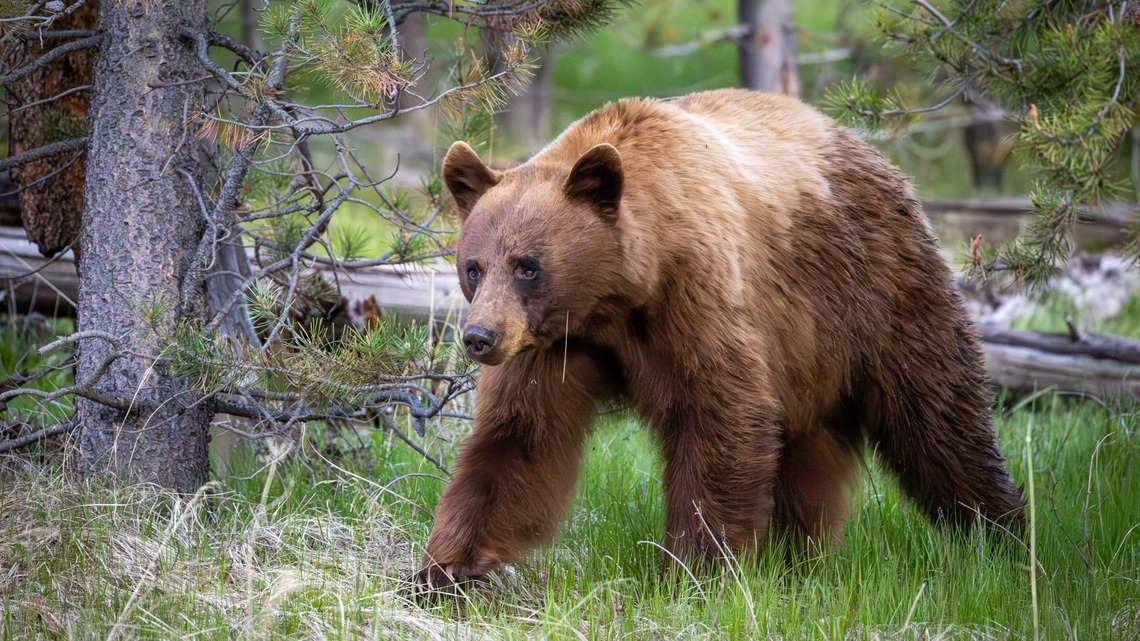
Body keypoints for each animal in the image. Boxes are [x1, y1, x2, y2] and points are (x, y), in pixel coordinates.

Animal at [414, 88, 1024, 591]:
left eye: (528, 266)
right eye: (473, 266)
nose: (479, 337)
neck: (616, 297)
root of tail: (871, 153)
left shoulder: (695, 297)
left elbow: (721, 416)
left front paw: (693, 573)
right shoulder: (554, 343)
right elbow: (519, 438)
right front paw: (443, 570)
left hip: (880, 291)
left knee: (938, 420)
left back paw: (1003, 536)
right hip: (810, 356)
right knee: (809, 453)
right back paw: (797, 559)